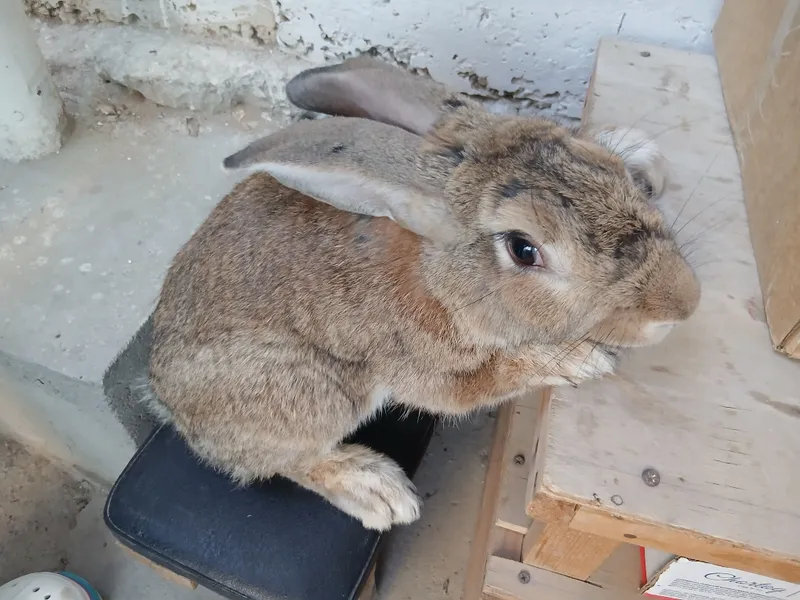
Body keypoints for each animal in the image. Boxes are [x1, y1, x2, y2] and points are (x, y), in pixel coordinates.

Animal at [147, 56, 701, 531]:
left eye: (602, 166)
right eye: (524, 250)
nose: (683, 302)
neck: (439, 271)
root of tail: (167, 402)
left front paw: (637, 151)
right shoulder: (430, 370)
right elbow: (489, 377)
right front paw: (580, 360)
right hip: (314, 390)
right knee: (281, 459)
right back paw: (376, 489)